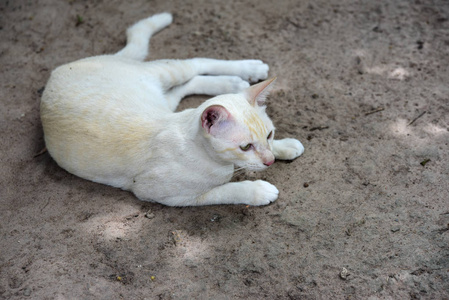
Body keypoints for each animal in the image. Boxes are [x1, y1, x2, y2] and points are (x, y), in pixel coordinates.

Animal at [40, 13, 302, 206]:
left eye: (269, 134)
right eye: (245, 147)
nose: (270, 162)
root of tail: (62, 69)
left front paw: (285, 146)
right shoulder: (172, 196)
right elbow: (227, 190)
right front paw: (258, 191)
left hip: (163, 91)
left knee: (194, 70)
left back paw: (243, 75)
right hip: (164, 85)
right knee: (193, 69)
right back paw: (238, 78)